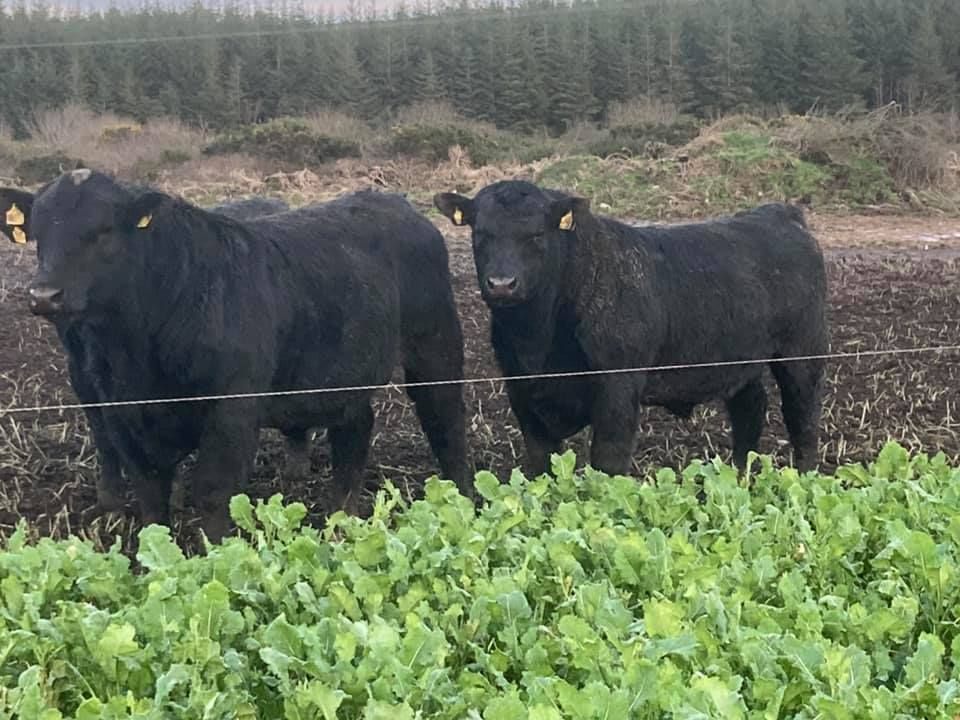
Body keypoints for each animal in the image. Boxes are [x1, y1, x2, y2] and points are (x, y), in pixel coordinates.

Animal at [2, 170, 468, 541]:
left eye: (102, 231)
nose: (44, 295)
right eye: (38, 233)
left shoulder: (232, 410)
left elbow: (213, 492)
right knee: (354, 431)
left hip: (436, 345)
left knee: (445, 421)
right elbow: (150, 495)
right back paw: (341, 519)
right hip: (345, 369)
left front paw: (215, 559)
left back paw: (464, 502)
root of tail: (394, 202)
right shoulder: (121, 414)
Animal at [434, 180, 827, 478]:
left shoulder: (618, 387)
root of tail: (778, 214)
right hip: (740, 360)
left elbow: (608, 461)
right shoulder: (521, 392)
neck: (538, 340)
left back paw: (805, 478)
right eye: (480, 233)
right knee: (750, 409)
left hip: (803, 351)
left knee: (802, 417)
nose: (502, 284)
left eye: (536, 235)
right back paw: (739, 476)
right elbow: (541, 463)